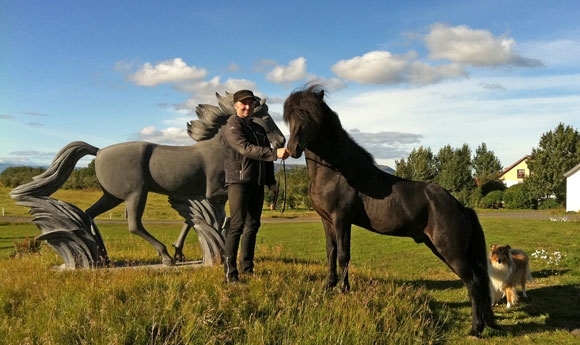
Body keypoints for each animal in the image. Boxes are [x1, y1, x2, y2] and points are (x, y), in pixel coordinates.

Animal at [284, 84, 496, 334]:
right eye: (290, 117)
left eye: (312, 117)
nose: (293, 148)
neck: (336, 172)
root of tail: (461, 207)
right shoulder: (327, 221)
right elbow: (331, 253)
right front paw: (329, 286)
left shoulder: (341, 220)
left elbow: (344, 255)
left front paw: (344, 290)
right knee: (478, 282)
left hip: (450, 251)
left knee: (473, 283)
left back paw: (476, 329)